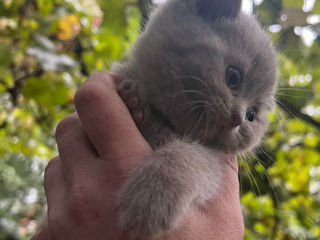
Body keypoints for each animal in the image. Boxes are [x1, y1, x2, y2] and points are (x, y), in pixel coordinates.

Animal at [112, 0, 278, 237]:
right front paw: (133, 99)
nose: (237, 119)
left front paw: (150, 199)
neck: (167, 125)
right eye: (233, 76)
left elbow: (187, 154)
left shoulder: (213, 164)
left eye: (252, 115)